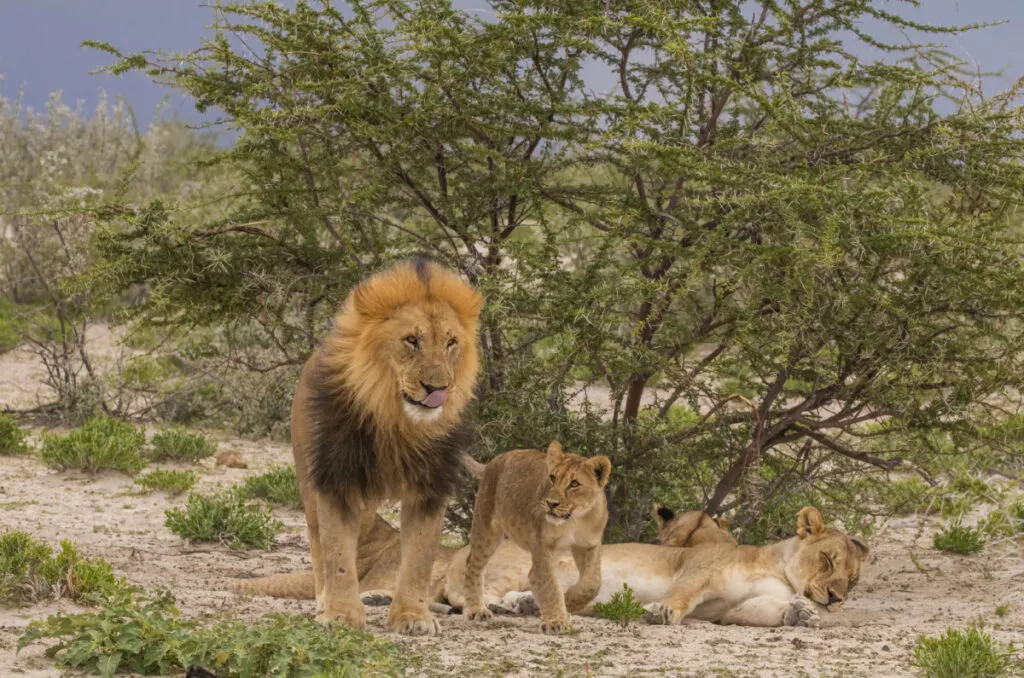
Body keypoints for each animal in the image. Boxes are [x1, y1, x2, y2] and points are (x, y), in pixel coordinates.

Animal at [284, 258, 482, 636]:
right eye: (411, 340)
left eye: (451, 343)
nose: (437, 388)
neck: (397, 420)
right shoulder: (337, 480)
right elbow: (337, 554)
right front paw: (341, 615)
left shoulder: (429, 488)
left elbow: (419, 558)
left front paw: (413, 616)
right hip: (307, 478)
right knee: (318, 544)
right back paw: (323, 600)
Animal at [461, 441, 612, 634]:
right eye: (552, 478)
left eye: (574, 483)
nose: (551, 504)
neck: (575, 520)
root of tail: (493, 461)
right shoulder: (542, 544)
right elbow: (549, 583)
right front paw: (555, 620)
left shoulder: (588, 545)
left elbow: (592, 582)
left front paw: (570, 602)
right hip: (487, 528)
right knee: (473, 565)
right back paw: (476, 610)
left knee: (532, 575)